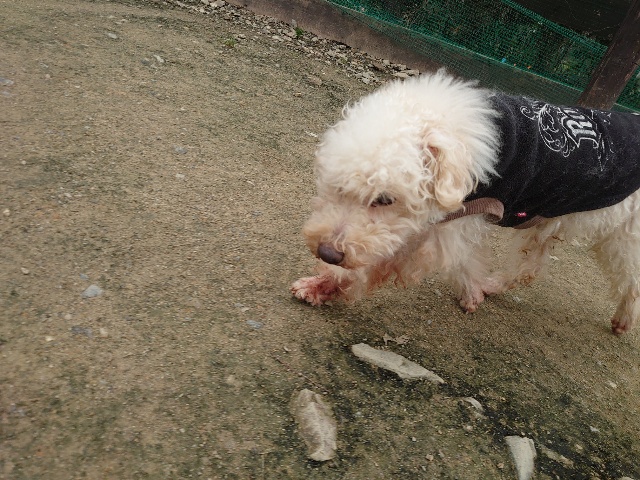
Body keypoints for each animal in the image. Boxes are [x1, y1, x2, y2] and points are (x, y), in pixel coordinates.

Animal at [291, 69, 640, 335]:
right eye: (338, 188)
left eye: (385, 199)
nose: (327, 252)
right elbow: (465, 261)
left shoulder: (448, 223)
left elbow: (385, 260)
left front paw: (328, 284)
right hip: (549, 218)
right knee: (530, 266)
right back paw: (493, 285)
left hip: (626, 236)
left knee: (631, 279)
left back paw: (624, 320)